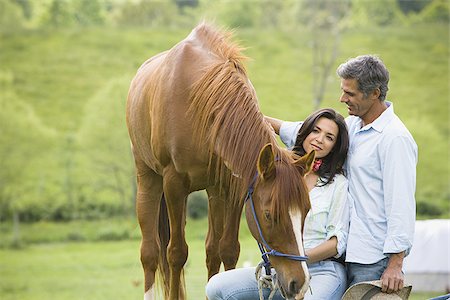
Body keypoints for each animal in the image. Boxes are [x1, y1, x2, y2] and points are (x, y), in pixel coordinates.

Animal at [125, 22, 312, 298]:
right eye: (269, 215)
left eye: (306, 211)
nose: (299, 282)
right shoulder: (174, 183)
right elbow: (176, 253)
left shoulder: (234, 186)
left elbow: (228, 249)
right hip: (149, 179)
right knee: (150, 252)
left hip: (213, 192)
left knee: (211, 251)